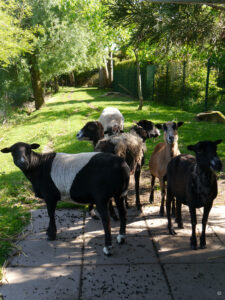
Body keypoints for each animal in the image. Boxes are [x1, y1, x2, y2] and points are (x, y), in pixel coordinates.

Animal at [1, 142, 130, 255]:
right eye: (13, 152)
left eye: (28, 150)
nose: (22, 163)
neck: (37, 166)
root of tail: (121, 165)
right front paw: (49, 232)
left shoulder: (49, 196)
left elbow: (50, 213)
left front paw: (51, 234)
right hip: (120, 193)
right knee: (123, 213)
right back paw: (121, 238)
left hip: (101, 196)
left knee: (106, 220)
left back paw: (107, 248)